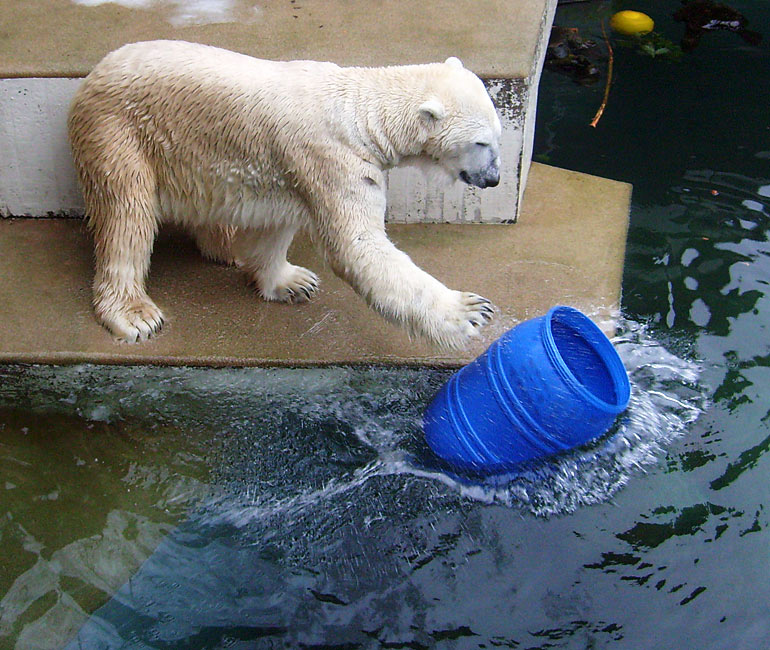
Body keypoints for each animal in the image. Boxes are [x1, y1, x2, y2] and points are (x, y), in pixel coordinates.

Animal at [69, 39, 500, 346]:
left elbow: (276, 225)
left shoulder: (288, 169)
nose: (494, 179)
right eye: (481, 143)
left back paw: (226, 246)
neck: (360, 112)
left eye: (498, 136)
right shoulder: (334, 159)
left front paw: (291, 282)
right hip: (118, 132)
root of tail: (93, 75)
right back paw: (135, 315)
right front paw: (470, 310)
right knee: (127, 217)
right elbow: (359, 246)